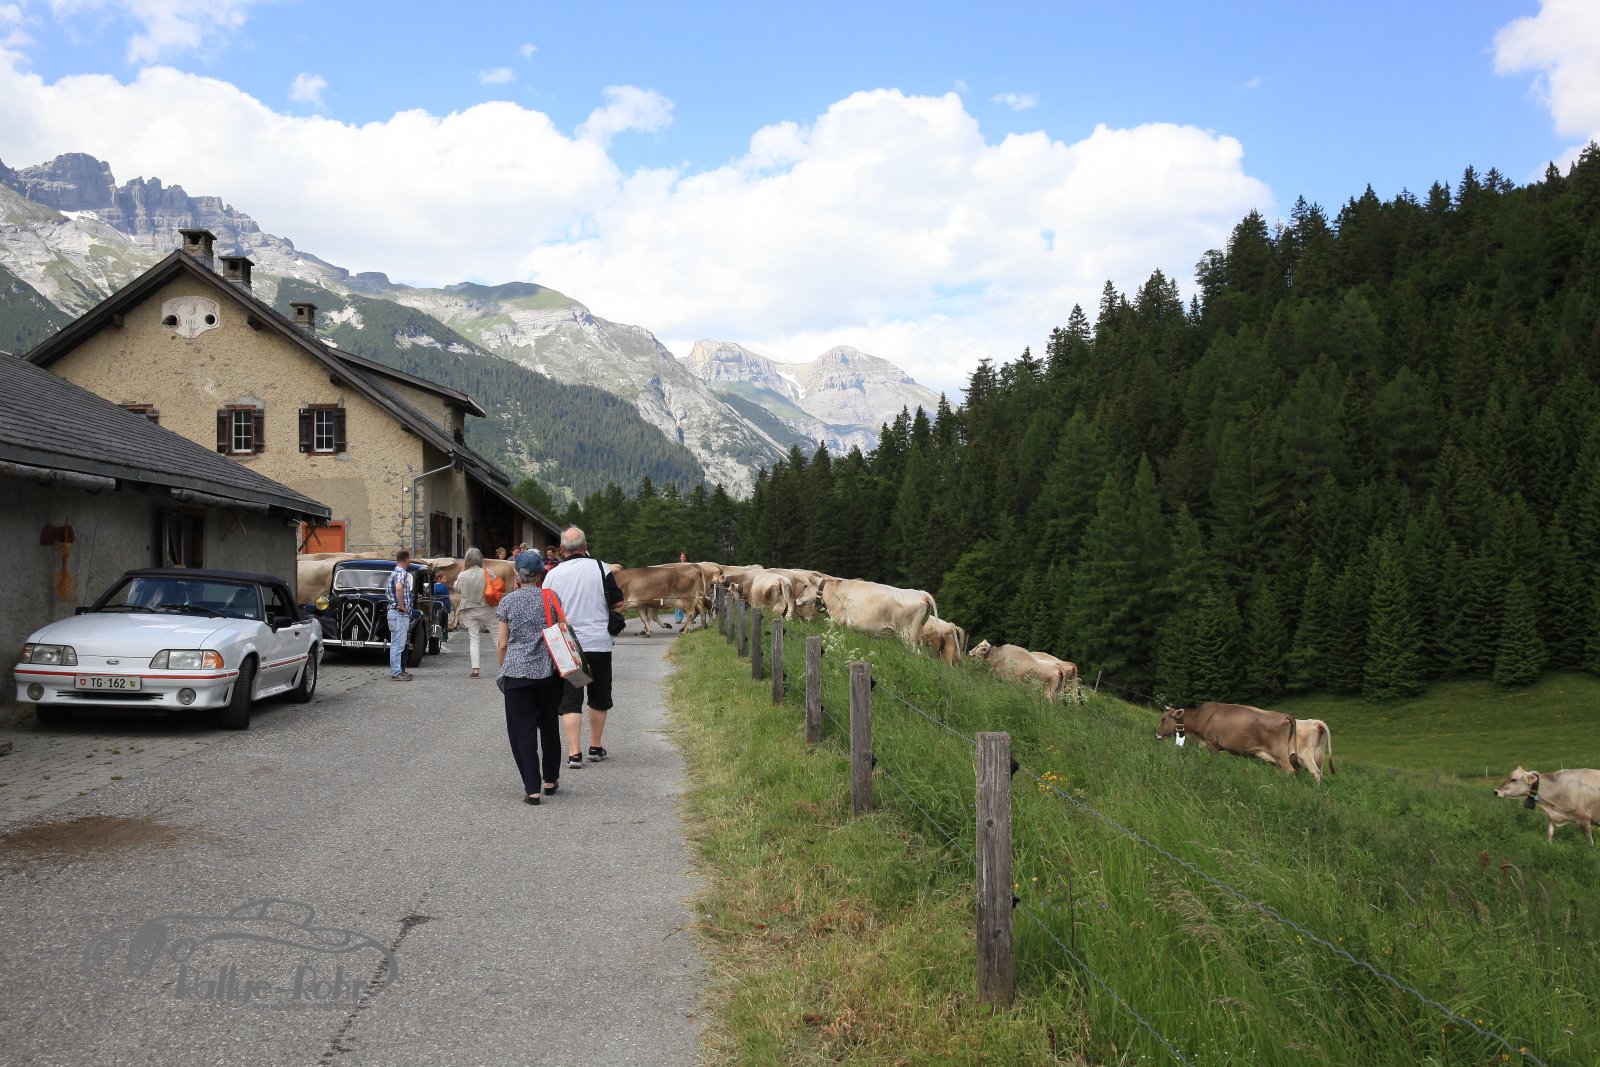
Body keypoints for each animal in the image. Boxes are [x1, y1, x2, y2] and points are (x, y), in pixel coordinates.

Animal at [1156, 702, 1300, 775]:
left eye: (1163, 719)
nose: (1157, 735)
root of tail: (1283, 715)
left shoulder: (1213, 745)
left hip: (1280, 754)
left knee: (1291, 771)